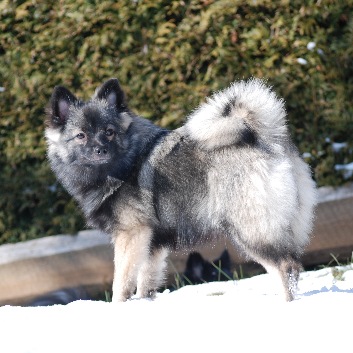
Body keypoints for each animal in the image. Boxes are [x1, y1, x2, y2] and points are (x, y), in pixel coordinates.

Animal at [44, 78, 316, 302]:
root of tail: (265, 139)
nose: (100, 149)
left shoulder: (131, 235)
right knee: (294, 265)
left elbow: (121, 282)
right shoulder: (152, 243)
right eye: (81, 135)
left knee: (286, 266)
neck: (124, 163)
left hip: (250, 229)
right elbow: (146, 283)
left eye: (109, 132)